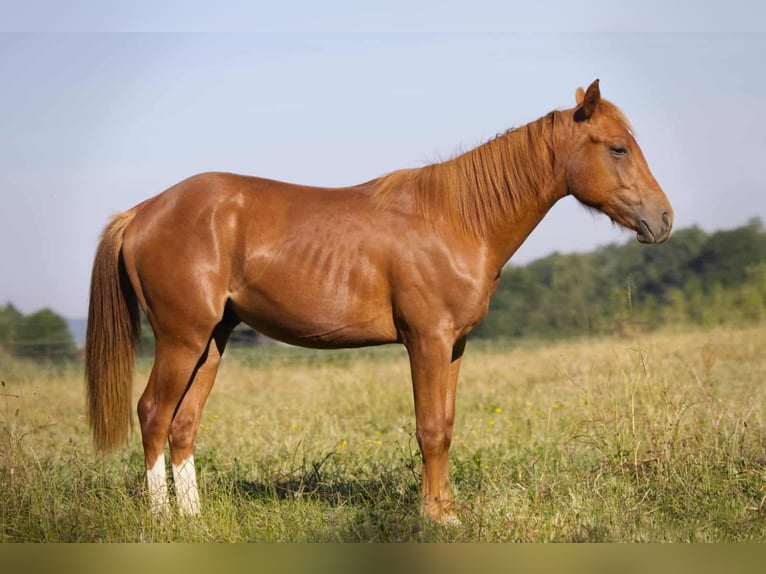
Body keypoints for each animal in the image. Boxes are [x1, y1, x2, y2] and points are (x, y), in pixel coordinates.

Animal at [85, 79, 673, 523]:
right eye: (618, 148)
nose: (663, 219)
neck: (457, 219)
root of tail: (141, 212)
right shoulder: (426, 341)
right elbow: (429, 430)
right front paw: (435, 518)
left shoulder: (454, 346)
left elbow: (447, 426)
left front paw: (446, 509)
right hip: (180, 338)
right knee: (153, 413)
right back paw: (163, 519)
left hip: (213, 340)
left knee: (183, 423)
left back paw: (193, 517)